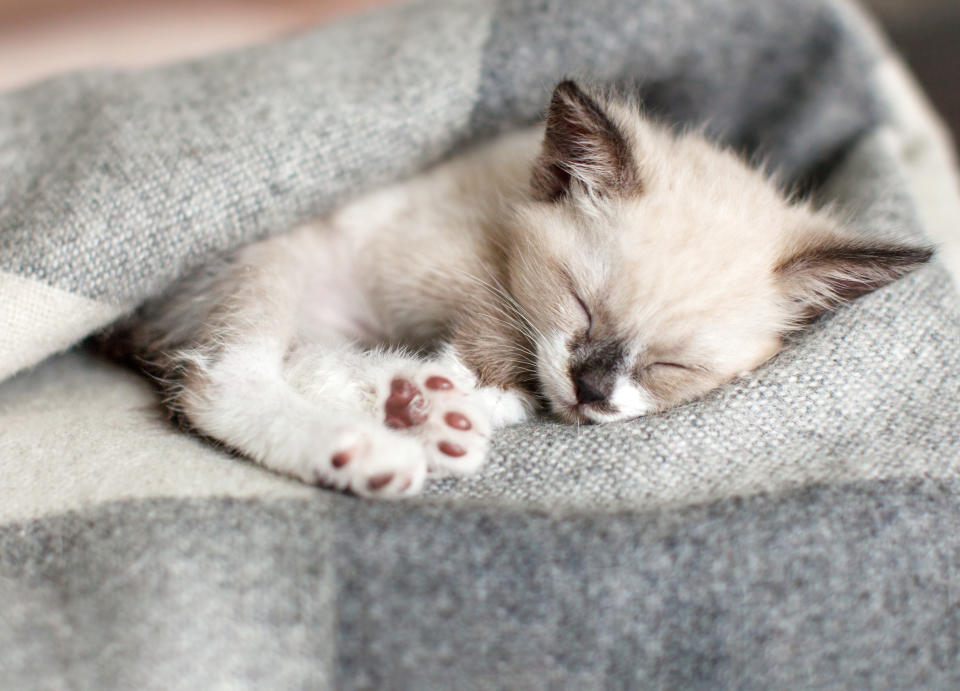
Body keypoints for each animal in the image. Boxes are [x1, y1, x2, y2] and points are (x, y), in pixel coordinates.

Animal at [116, 81, 932, 500]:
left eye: (672, 366)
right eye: (580, 303)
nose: (593, 389)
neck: (501, 204)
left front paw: (454, 404)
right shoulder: (428, 255)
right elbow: (497, 326)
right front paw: (491, 396)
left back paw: (419, 410)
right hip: (268, 261)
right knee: (221, 382)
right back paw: (374, 447)